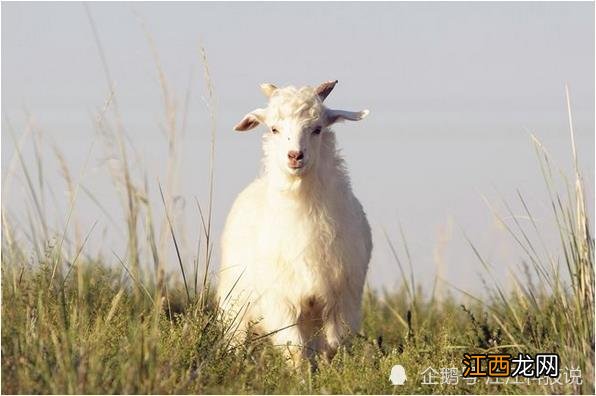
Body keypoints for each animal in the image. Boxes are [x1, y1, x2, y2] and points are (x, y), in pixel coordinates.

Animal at [217, 80, 370, 366]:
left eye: (317, 128)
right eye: (274, 128)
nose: (295, 156)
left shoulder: (342, 302)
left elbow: (332, 344)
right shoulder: (280, 302)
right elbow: (294, 349)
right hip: (235, 304)